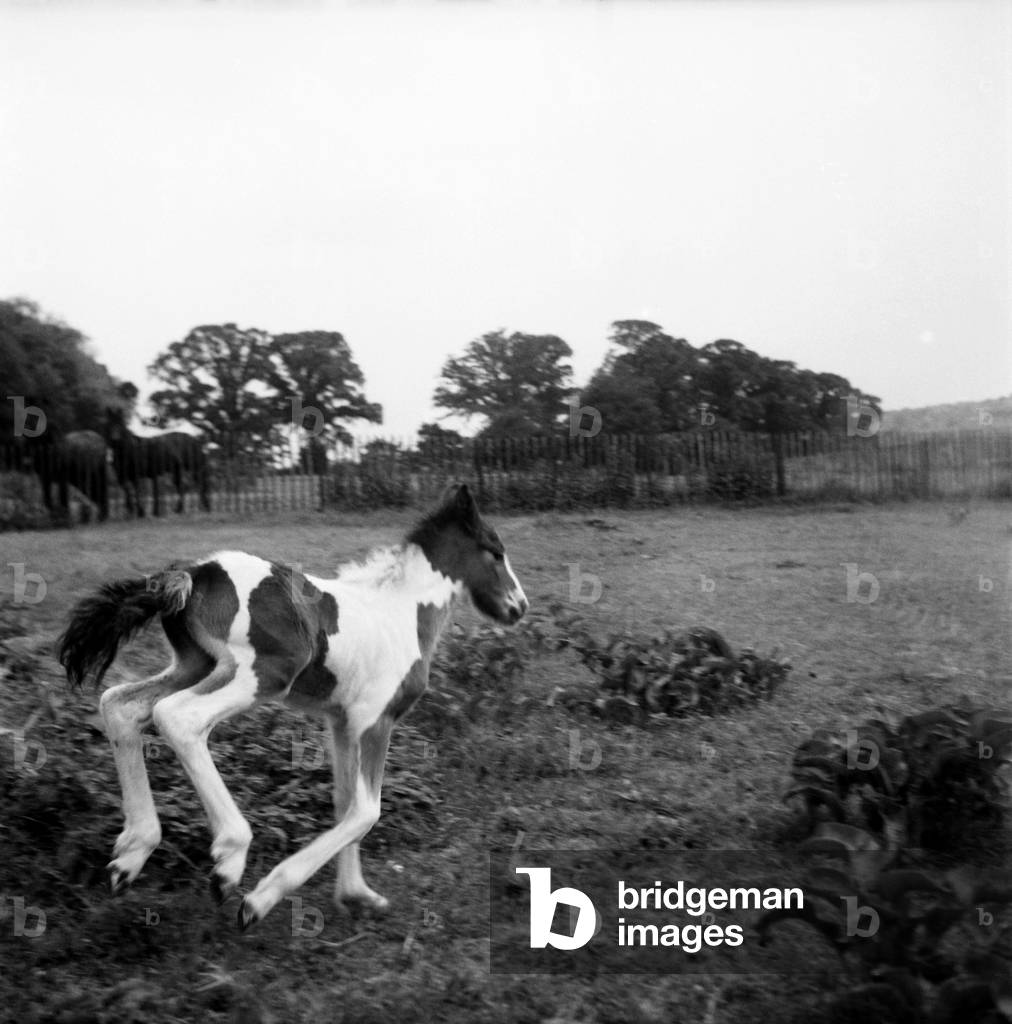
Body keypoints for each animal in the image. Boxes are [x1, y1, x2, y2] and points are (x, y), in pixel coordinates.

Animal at [57, 484, 528, 929]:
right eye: (497, 552)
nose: (519, 607)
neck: (404, 611)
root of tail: (194, 573)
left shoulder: (341, 722)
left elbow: (344, 803)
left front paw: (356, 895)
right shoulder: (376, 720)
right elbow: (366, 812)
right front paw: (261, 899)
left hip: (195, 665)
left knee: (120, 705)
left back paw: (130, 855)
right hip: (259, 674)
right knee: (178, 717)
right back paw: (229, 859)